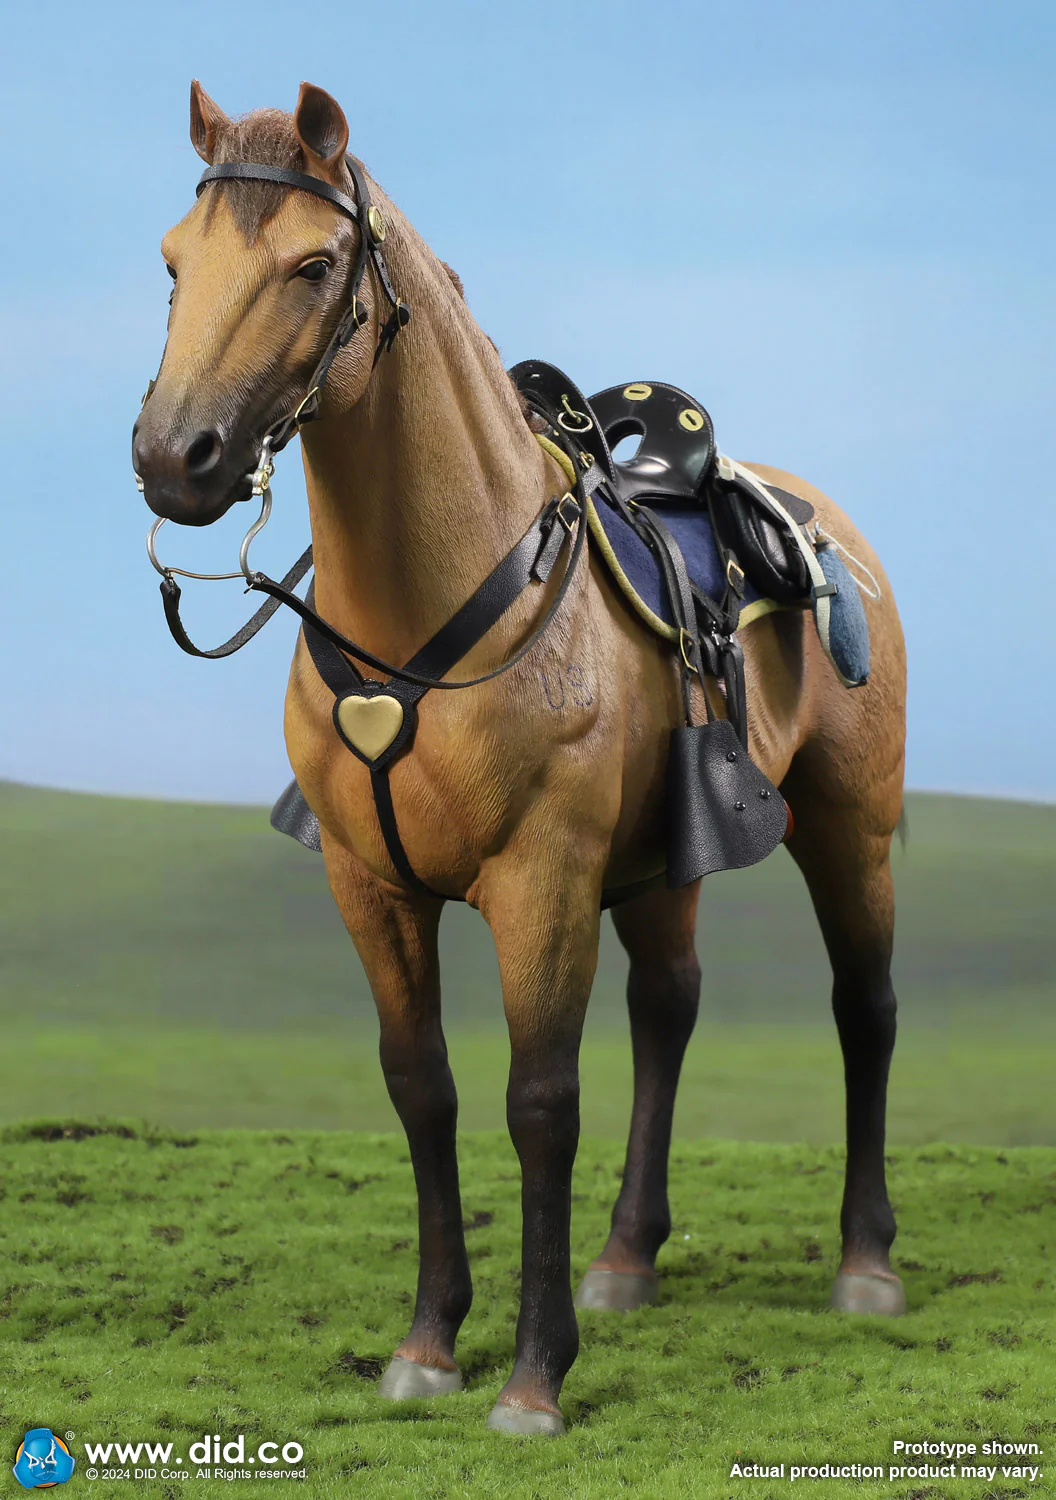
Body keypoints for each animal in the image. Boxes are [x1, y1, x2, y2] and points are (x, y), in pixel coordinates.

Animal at [132, 80, 908, 1437]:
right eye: (177, 262)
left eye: (314, 264)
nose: (177, 458)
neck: (421, 611)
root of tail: (826, 526)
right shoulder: (369, 887)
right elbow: (422, 1087)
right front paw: (428, 1344)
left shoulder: (540, 883)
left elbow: (539, 1105)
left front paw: (534, 1377)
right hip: (660, 865)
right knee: (669, 1008)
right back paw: (625, 1258)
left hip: (848, 824)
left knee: (863, 1006)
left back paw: (863, 1264)